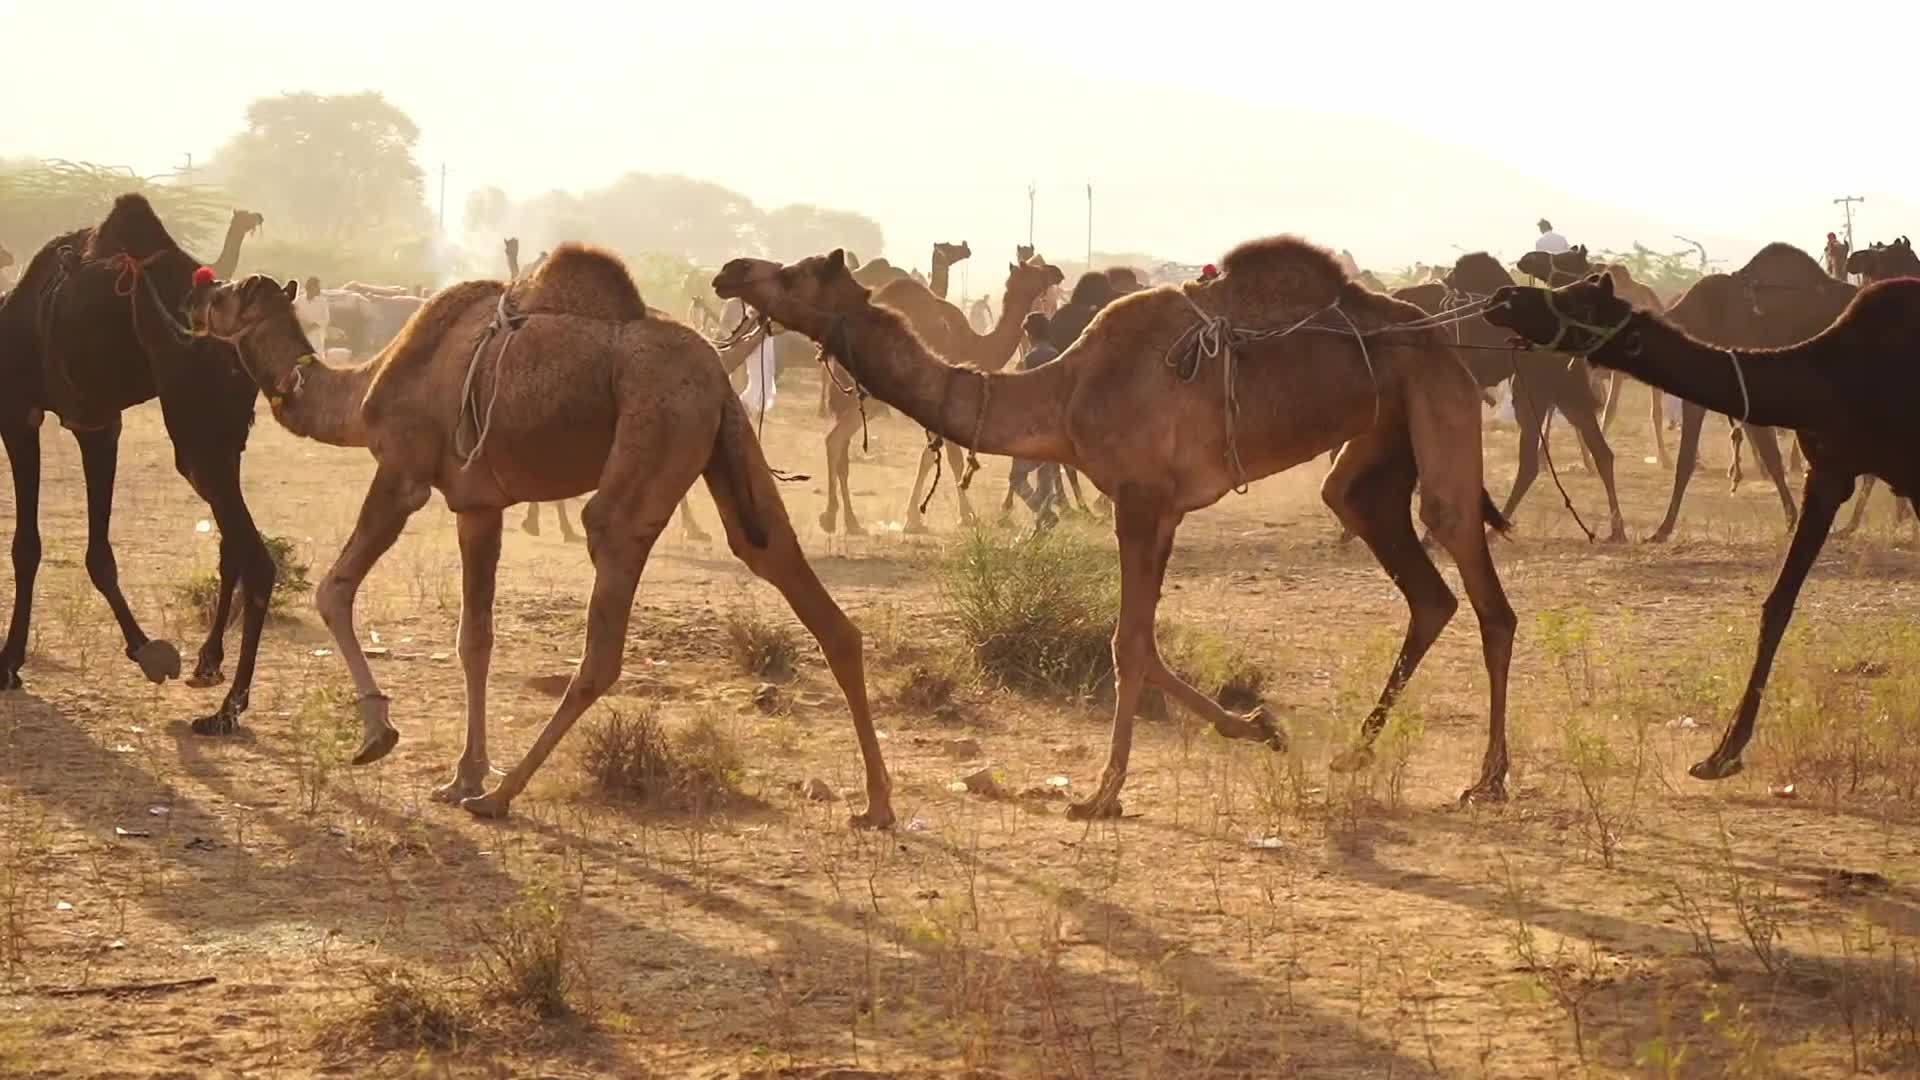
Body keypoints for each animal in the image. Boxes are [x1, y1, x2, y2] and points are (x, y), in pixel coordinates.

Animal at [0, 194, 276, 732]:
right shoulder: (96, 422)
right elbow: (97, 554)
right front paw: (147, 651)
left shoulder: (18, 412)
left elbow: (27, 547)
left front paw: (8, 663)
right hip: (221, 439)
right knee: (234, 545)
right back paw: (208, 666)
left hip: (198, 438)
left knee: (258, 559)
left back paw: (228, 708)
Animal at [185, 245, 893, 825]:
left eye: (224, 295)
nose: (191, 302)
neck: (361, 393)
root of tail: (718, 375)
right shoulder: (477, 505)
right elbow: (475, 638)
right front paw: (462, 773)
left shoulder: (404, 472)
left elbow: (333, 592)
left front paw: (379, 733)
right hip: (730, 442)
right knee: (795, 578)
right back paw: (877, 803)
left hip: (656, 430)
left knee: (605, 618)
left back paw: (502, 797)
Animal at [715, 237, 1519, 816]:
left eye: (796, 272)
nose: (730, 271)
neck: (1063, 393)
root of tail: (1448, 344)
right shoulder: (1159, 507)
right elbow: (1143, 643)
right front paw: (1257, 727)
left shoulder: (1138, 499)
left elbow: (1127, 644)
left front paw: (1104, 793)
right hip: (1378, 441)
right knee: (1404, 563)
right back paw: (1357, 751)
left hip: (1439, 401)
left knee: (1479, 580)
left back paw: (1488, 777)